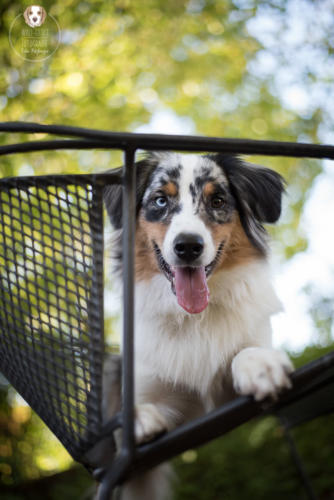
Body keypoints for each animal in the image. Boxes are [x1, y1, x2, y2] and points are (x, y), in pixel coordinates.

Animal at [103, 152, 294, 500]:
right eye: (160, 200)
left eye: (217, 200)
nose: (188, 246)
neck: (194, 318)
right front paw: (133, 420)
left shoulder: (226, 404)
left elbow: (245, 353)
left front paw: (260, 366)